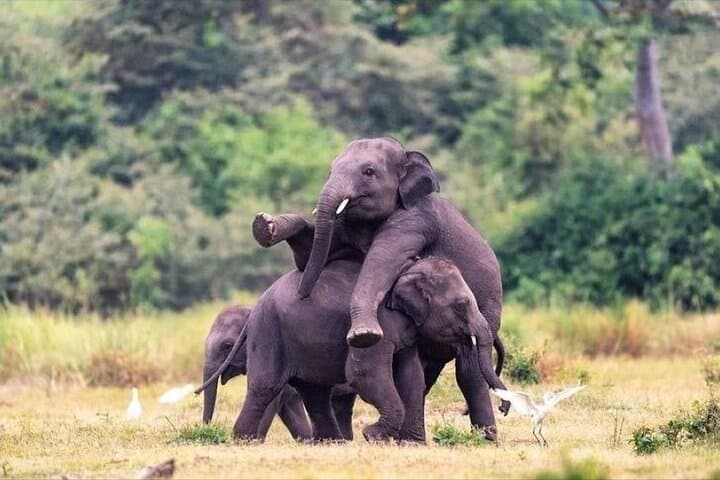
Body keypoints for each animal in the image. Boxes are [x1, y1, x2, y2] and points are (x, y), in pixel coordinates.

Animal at [201, 304, 357, 440]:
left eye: (227, 346)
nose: (207, 428)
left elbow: (272, 403)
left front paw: (256, 441)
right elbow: (289, 409)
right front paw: (308, 440)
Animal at [220, 257, 508, 443]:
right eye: (461, 305)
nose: (505, 408)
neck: (407, 270)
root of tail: (258, 302)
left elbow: (411, 376)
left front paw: (410, 443)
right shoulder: (373, 325)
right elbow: (364, 375)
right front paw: (373, 436)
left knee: (314, 392)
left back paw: (332, 442)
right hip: (269, 332)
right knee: (265, 386)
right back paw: (243, 440)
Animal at [251, 136, 505, 433]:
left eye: (369, 172)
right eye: (330, 171)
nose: (303, 293)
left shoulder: (414, 220)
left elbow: (379, 262)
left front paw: (364, 335)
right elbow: (311, 254)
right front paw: (264, 226)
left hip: (485, 311)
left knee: (468, 369)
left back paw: (486, 437)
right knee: (426, 371)